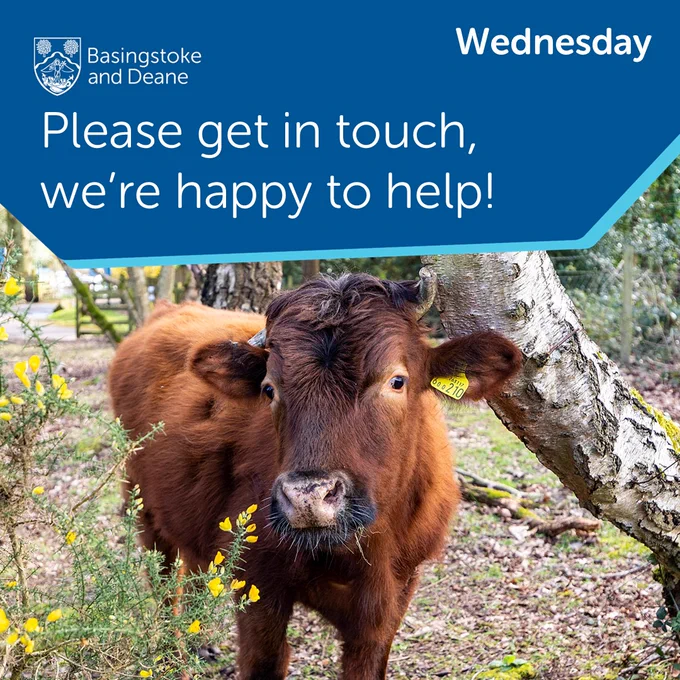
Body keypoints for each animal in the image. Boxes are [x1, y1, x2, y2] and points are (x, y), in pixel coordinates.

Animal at [108, 270, 521, 679]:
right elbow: (264, 662)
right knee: (164, 580)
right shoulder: (259, 586)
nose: (307, 497)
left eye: (397, 380)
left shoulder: (392, 599)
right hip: (143, 506)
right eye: (268, 389)